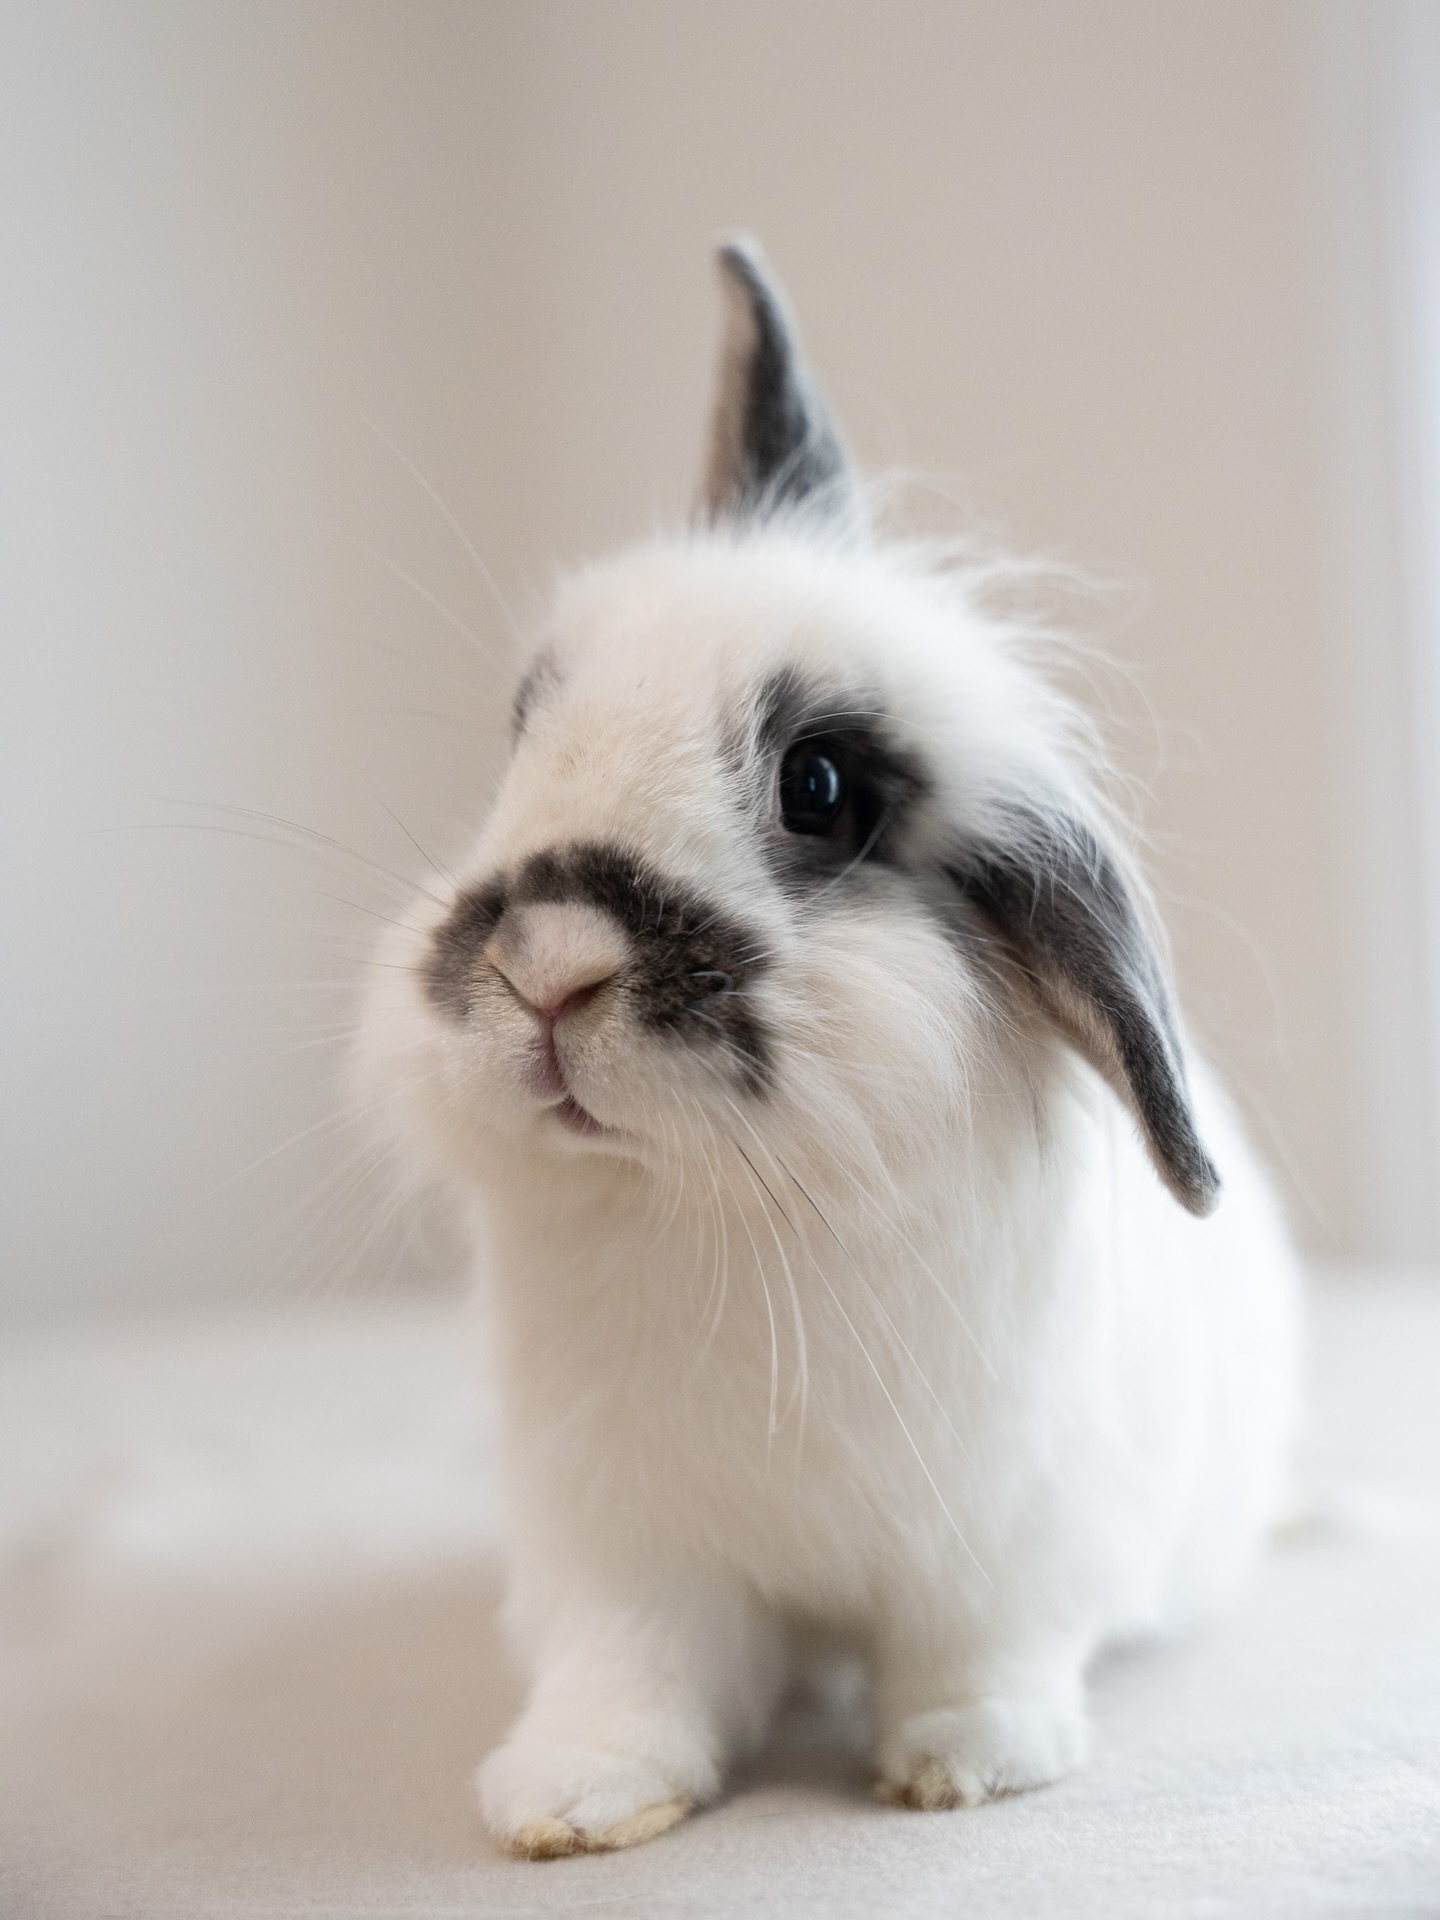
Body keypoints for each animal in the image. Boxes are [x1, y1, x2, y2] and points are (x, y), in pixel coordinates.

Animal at [355, 238, 1301, 1858]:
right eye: (528, 721)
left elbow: (975, 1659)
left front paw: (971, 1767)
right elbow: (632, 1675)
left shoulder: (1000, 1544)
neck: (726, 1218)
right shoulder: (624, 1553)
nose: (546, 967)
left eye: (824, 788)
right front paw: (572, 1800)